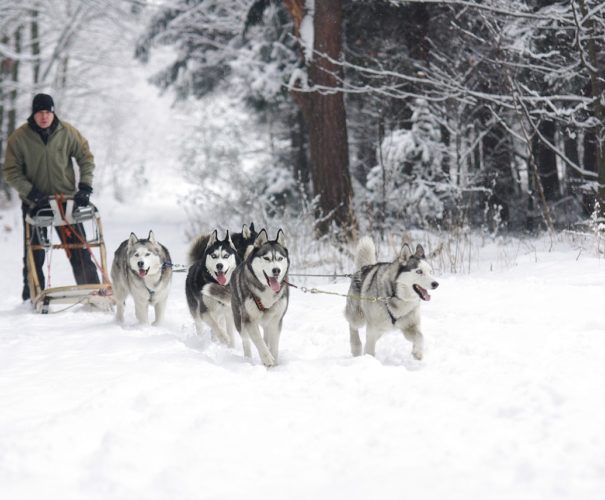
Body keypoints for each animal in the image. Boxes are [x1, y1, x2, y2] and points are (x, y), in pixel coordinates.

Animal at [230, 229, 290, 366]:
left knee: (266, 337)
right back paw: (248, 359)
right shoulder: (249, 320)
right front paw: (267, 358)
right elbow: (258, 340)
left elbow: (274, 344)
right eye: (266, 258)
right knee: (246, 341)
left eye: (280, 258)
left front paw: (274, 362)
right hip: (239, 320)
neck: (267, 290)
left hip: (267, 321)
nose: (276, 270)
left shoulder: (276, 320)